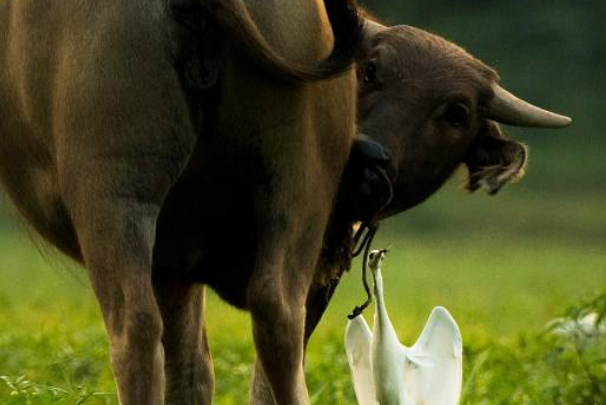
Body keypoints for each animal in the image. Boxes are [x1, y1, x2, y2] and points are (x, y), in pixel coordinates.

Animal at [0, 0, 360, 404]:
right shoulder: (177, 264)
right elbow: (192, 368)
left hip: (111, 196)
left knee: (135, 330)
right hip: (296, 181)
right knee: (278, 313)